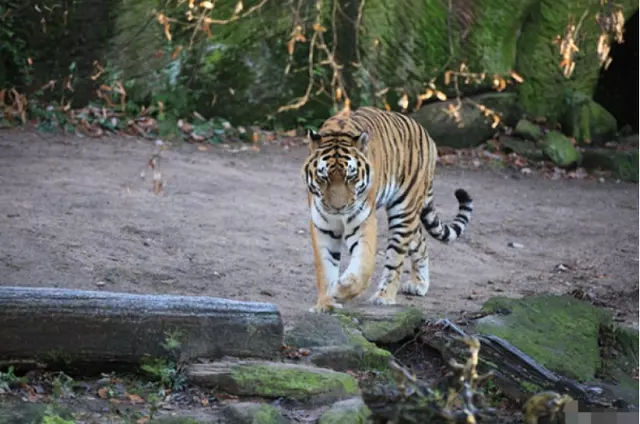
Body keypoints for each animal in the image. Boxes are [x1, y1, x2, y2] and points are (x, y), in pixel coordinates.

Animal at [302, 105, 472, 312]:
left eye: (350, 177)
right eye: (323, 177)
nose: (338, 207)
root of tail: (425, 133)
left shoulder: (363, 222)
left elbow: (363, 265)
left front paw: (340, 289)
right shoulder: (323, 227)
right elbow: (325, 268)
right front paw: (325, 304)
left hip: (404, 211)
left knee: (395, 260)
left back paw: (384, 296)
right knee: (420, 241)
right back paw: (419, 283)